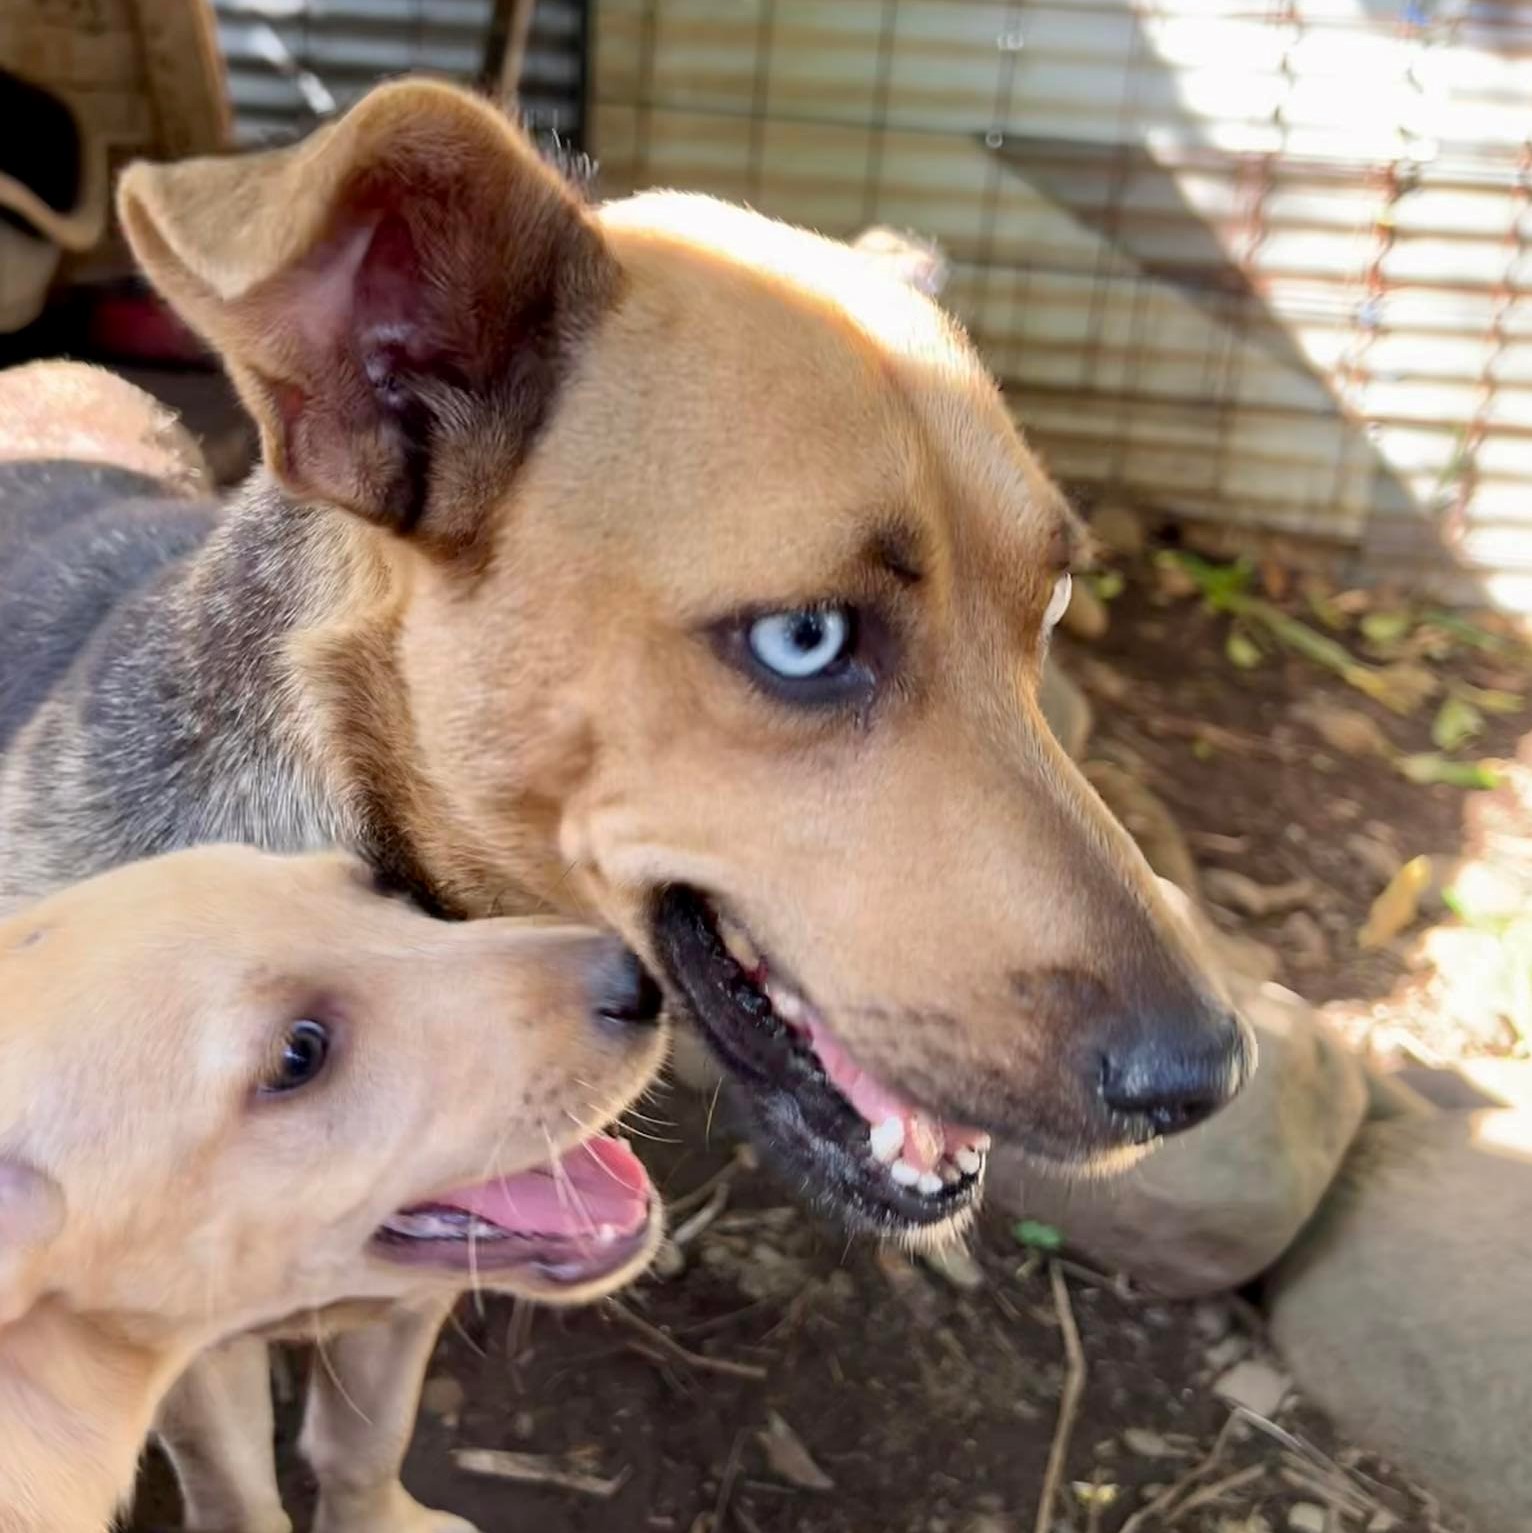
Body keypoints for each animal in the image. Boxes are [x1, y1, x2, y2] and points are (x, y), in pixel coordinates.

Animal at [1, 852, 671, 1533]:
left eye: (379, 887)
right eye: (299, 1053)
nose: (641, 981)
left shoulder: (398, 1312)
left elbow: (366, 1444)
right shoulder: (200, 1362)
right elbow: (242, 1497)